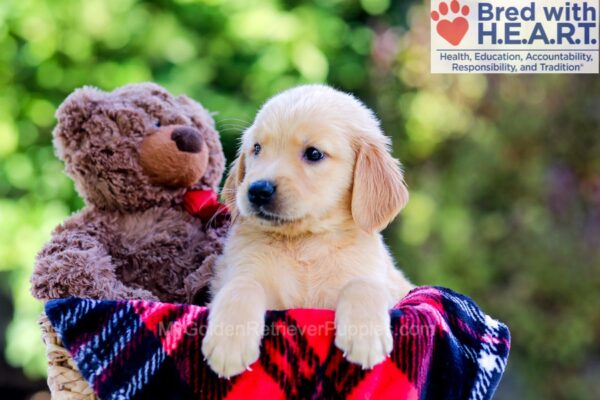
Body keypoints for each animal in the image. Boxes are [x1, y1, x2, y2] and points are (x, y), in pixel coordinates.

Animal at [202, 84, 412, 378]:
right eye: (256, 148)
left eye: (314, 153)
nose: (257, 190)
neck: (304, 242)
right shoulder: (238, 271)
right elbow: (243, 284)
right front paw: (229, 339)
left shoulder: (384, 282)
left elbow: (363, 284)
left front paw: (364, 335)